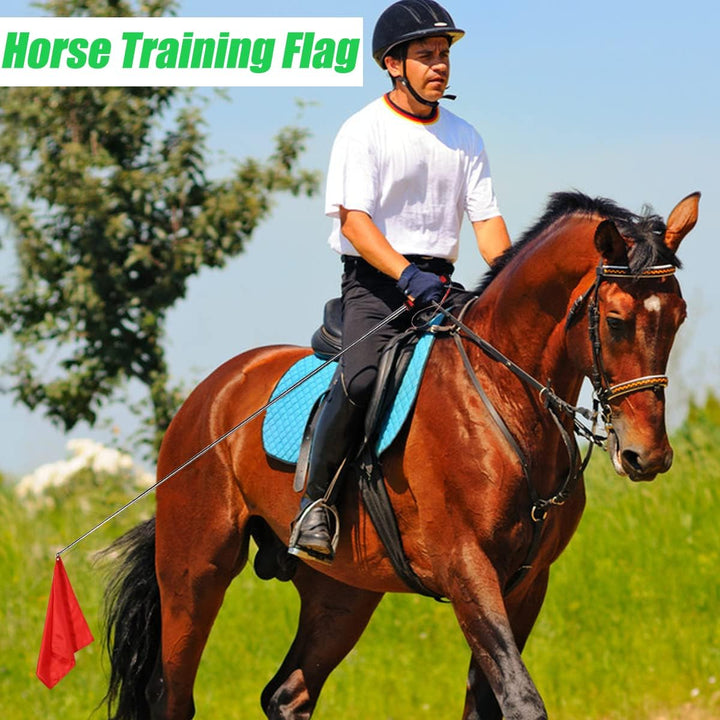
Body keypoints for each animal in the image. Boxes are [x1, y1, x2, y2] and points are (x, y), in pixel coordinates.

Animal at [103, 190, 699, 720]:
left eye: (678, 317)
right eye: (616, 321)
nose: (647, 455)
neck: (501, 394)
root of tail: (211, 391)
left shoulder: (528, 582)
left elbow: (488, 701)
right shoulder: (467, 569)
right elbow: (521, 700)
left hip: (342, 593)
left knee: (287, 694)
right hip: (195, 572)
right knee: (172, 695)